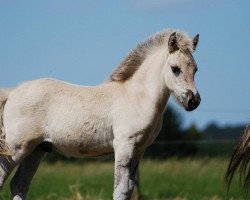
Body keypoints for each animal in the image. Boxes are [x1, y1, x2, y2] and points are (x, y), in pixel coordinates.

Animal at [0, 28, 199, 199]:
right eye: (175, 68)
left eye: (195, 69)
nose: (194, 101)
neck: (137, 97)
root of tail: (13, 92)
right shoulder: (124, 146)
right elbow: (120, 190)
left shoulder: (139, 150)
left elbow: (129, 190)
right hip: (16, 148)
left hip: (37, 149)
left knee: (19, 185)